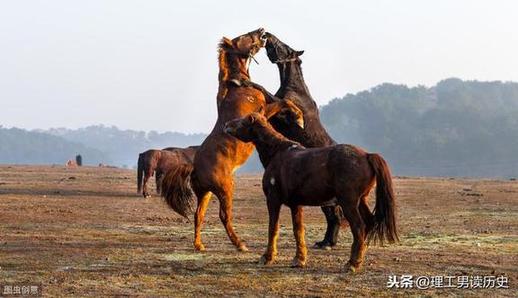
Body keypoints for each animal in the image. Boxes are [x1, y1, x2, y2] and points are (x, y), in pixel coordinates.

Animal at [159, 27, 304, 251]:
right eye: (245, 36)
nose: (262, 30)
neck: (238, 86)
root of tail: (194, 167)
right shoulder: (262, 111)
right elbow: (284, 102)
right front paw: (299, 117)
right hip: (226, 189)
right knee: (224, 216)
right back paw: (240, 244)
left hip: (206, 194)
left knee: (198, 216)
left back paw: (199, 245)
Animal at [225, 113, 400, 272]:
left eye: (242, 121)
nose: (226, 124)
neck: (278, 153)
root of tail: (367, 155)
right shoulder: (295, 204)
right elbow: (298, 230)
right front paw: (299, 259)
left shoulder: (273, 199)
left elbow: (272, 228)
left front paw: (267, 257)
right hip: (360, 201)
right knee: (369, 223)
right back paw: (358, 259)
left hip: (348, 202)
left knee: (358, 227)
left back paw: (352, 264)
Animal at [266, 32, 348, 249]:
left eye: (284, 45)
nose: (267, 35)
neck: (295, 88)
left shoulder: (283, 110)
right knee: (332, 216)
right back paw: (325, 241)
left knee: (335, 216)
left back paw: (328, 243)